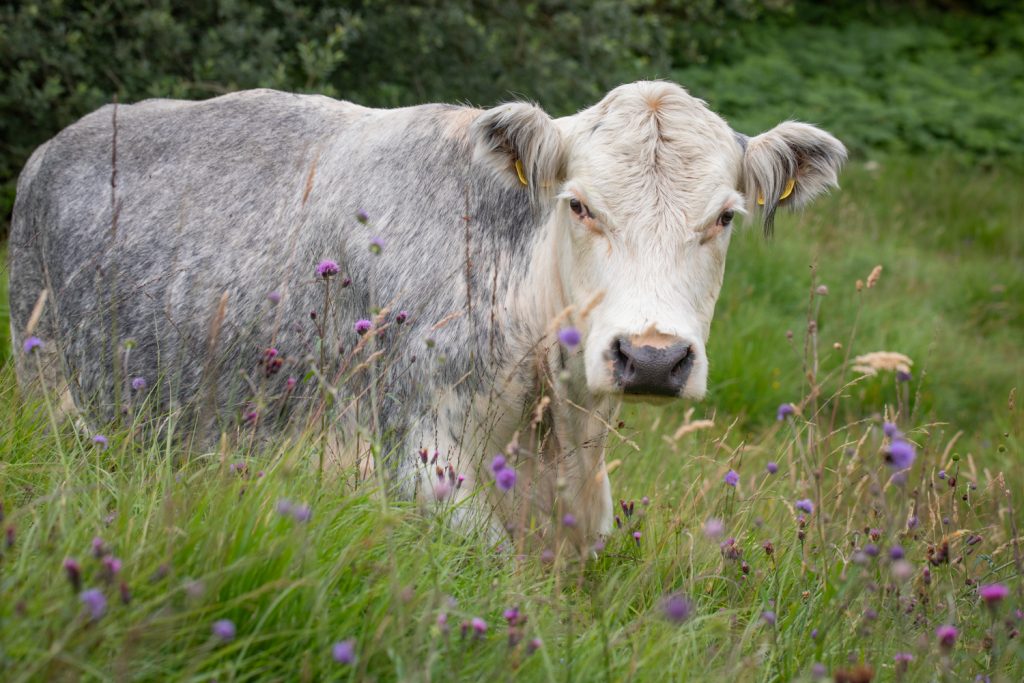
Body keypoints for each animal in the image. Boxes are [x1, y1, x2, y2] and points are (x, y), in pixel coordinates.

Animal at [9, 81, 845, 550]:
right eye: (579, 205)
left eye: (726, 217)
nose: (650, 356)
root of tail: (54, 146)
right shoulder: (421, 463)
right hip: (45, 381)